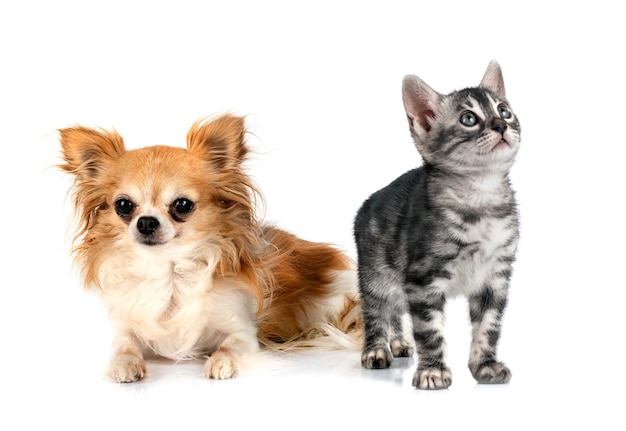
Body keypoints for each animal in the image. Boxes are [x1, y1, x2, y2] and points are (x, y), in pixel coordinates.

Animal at [354, 61, 520, 392]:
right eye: (469, 119)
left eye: (504, 110)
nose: (501, 125)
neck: (481, 198)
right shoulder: (423, 278)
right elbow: (429, 330)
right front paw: (433, 370)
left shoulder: (495, 277)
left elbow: (489, 326)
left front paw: (485, 365)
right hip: (374, 273)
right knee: (377, 310)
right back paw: (377, 349)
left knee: (396, 311)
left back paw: (399, 342)